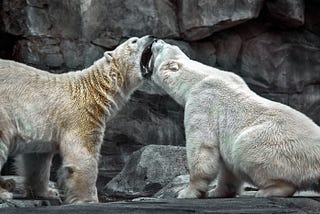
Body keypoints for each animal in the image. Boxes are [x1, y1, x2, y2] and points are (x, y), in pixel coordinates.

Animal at [0, 36, 155, 203]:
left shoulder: (42, 126)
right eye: (134, 41)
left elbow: (37, 159)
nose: (152, 37)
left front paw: (48, 192)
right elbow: (83, 156)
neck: (92, 90)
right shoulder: (81, 117)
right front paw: (89, 200)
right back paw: (4, 192)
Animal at [142, 39, 320, 199]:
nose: (155, 40)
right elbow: (227, 166)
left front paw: (187, 192)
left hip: (279, 146)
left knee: (245, 147)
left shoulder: (202, 102)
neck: (200, 78)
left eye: (162, 47)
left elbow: (202, 146)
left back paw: (268, 191)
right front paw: (217, 192)